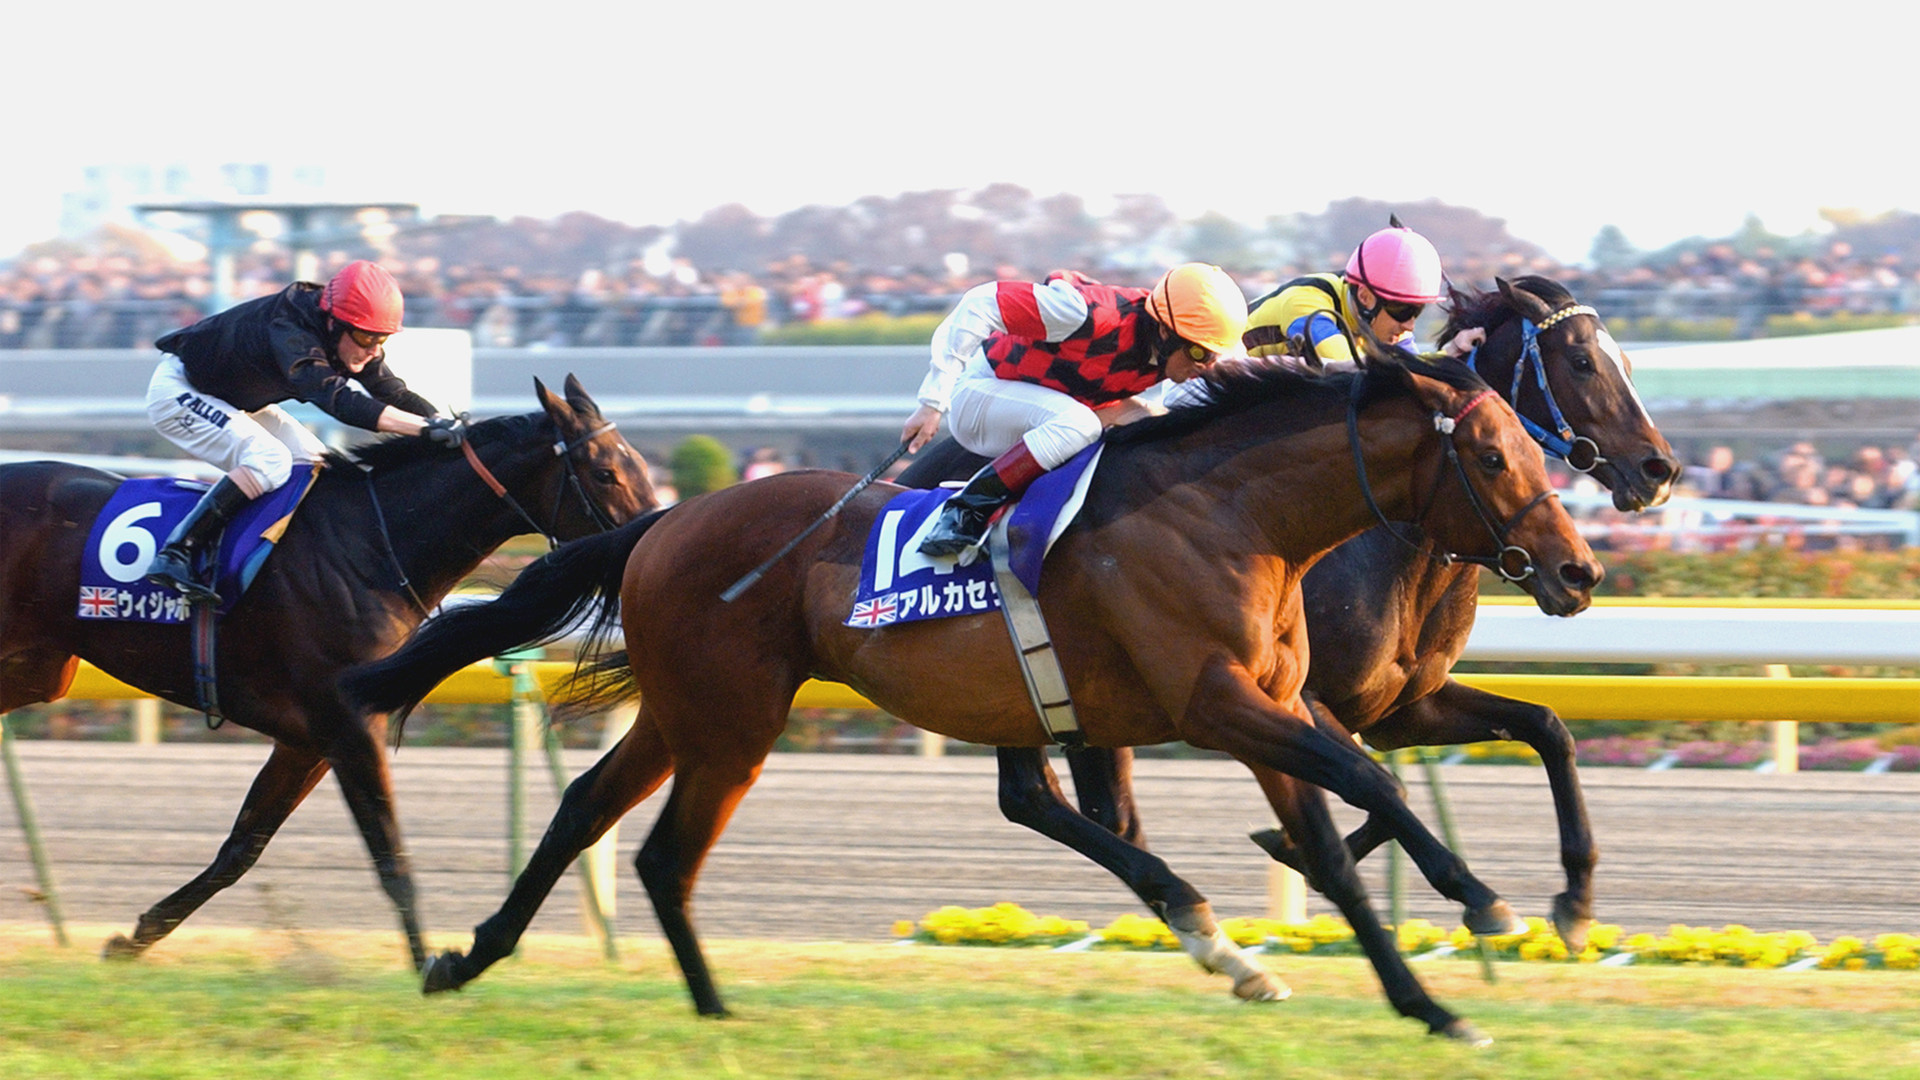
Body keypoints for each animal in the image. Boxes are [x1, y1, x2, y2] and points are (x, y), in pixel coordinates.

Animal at [0, 375, 655, 969]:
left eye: (641, 464)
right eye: (604, 472)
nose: (653, 537)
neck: (371, 546)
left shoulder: (310, 739)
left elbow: (241, 848)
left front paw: (133, 939)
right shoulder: (349, 725)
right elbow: (390, 856)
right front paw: (430, 967)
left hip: (37, 671)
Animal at [343, 351, 1602, 1043]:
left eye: (1538, 450)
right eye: (1497, 457)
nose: (1582, 569)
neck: (1237, 516)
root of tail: (660, 520)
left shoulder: (1265, 711)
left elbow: (1338, 847)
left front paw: (1431, 1004)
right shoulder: (1216, 706)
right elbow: (1369, 783)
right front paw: (1486, 902)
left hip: (690, 710)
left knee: (591, 817)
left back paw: (475, 960)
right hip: (732, 717)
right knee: (659, 852)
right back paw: (695, 1005)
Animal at [897, 276, 1676, 951]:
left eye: (1626, 361)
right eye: (1582, 361)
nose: (1659, 471)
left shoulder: (1402, 706)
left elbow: (1545, 730)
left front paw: (1575, 902)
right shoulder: (1303, 697)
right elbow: (1379, 787)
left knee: (1084, 803)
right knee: (1040, 796)